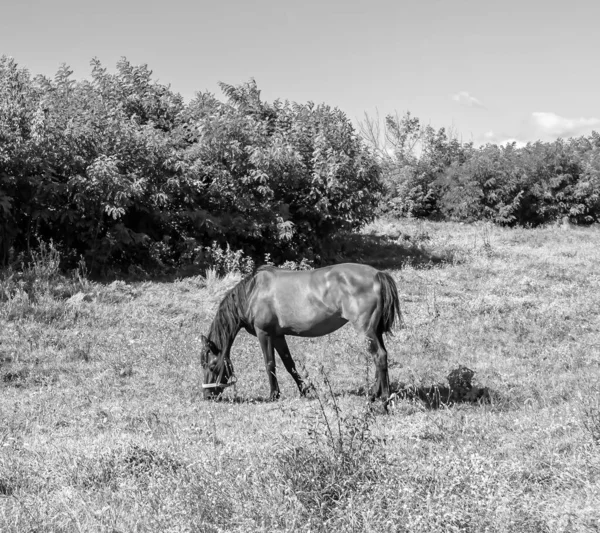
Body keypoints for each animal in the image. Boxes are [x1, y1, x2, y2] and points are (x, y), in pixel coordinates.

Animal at [199, 260, 400, 402]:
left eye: (211, 366)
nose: (207, 396)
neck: (252, 293)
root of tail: (378, 274)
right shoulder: (278, 335)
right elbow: (289, 364)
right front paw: (304, 390)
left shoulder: (264, 334)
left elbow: (269, 364)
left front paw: (274, 395)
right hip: (374, 331)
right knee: (381, 356)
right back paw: (375, 393)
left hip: (365, 329)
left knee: (379, 356)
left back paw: (383, 398)